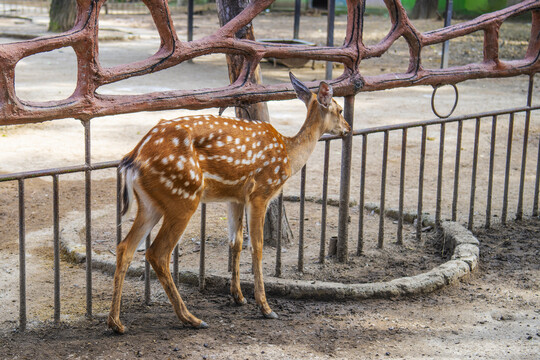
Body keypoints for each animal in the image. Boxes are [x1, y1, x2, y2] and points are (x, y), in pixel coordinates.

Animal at [108, 71, 350, 334]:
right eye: (339, 109)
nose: (349, 128)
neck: (289, 155)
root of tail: (133, 159)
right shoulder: (260, 192)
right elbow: (257, 246)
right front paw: (265, 307)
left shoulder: (235, 197)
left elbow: (236, 241)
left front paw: (238, 297)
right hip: (183, 196)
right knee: (157, 252)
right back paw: (191, 318)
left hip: (150, 203)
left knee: (125, 247)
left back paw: (116, 323)